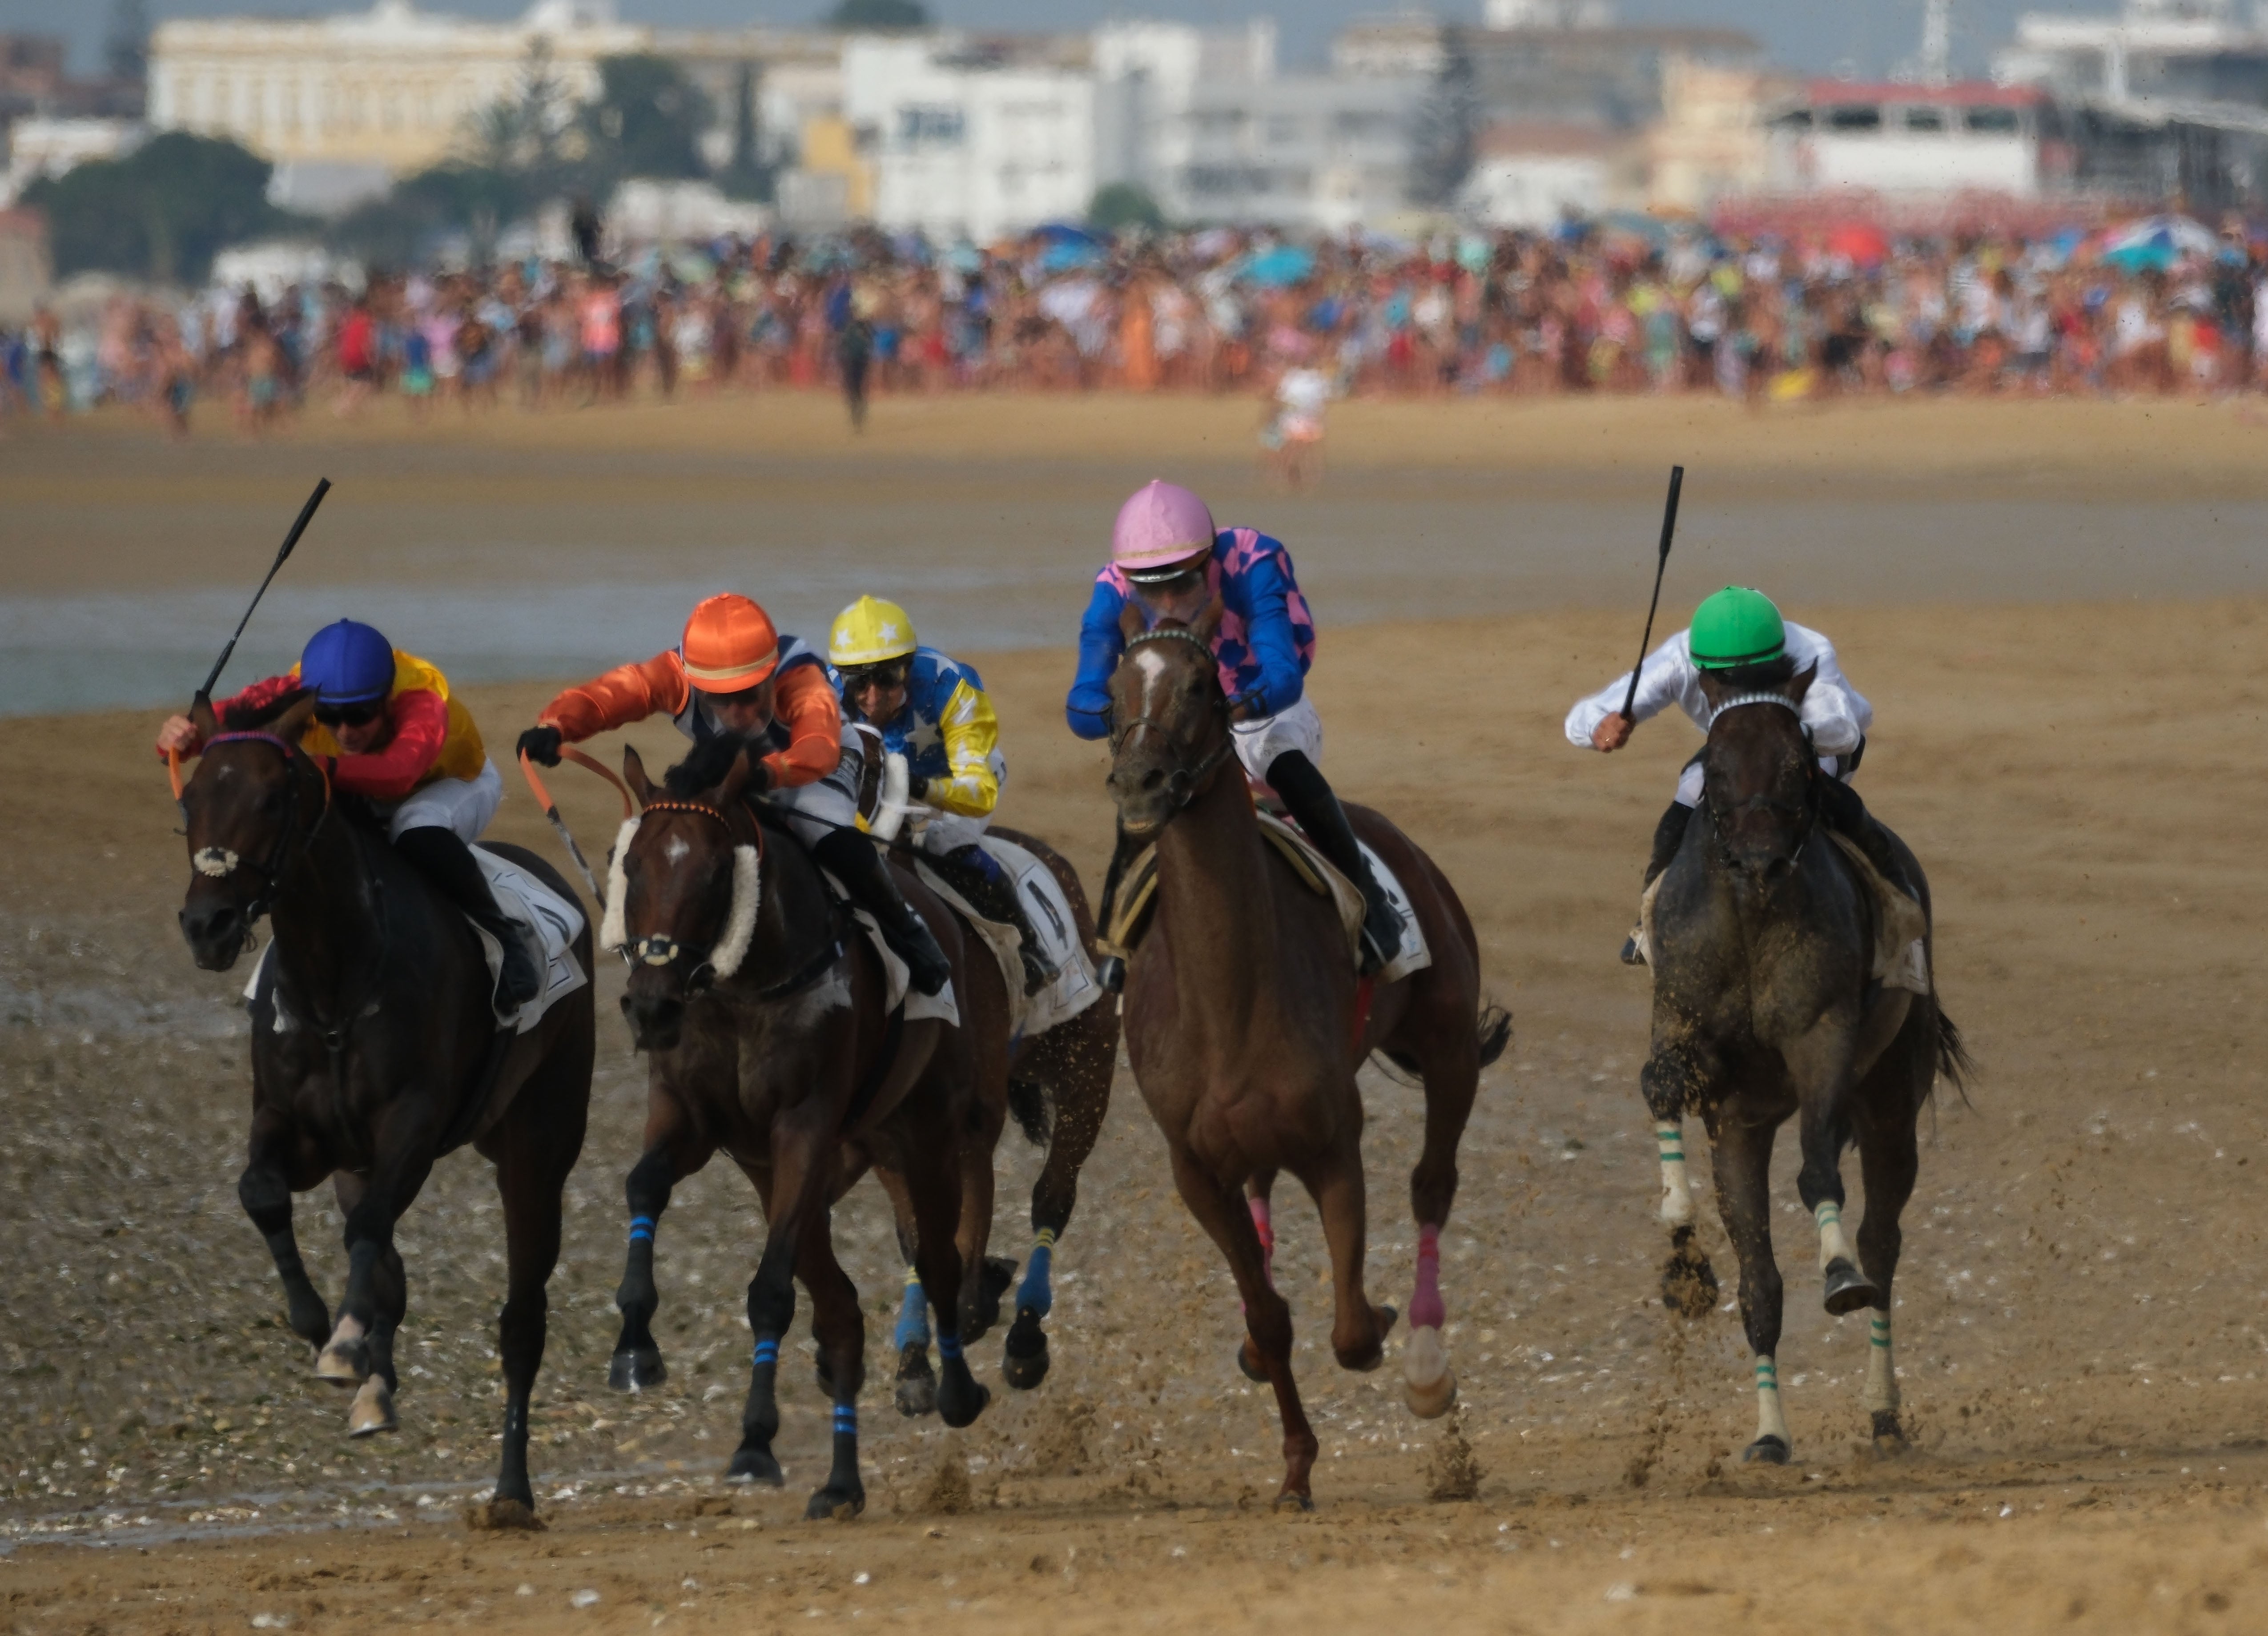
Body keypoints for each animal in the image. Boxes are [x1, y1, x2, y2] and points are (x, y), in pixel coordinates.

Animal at [173, 692, 594, 1518]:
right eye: (189, 799)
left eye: (271, 799)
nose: (206, 926)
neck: (338, 976)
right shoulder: (297, 1127)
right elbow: (263, 1191)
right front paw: (325, 1332)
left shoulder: (413, 1123)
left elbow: (367, 1231)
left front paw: (342, 1347)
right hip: (361, 1159)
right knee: (387, 1264)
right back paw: (378, 1378)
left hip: (536, 1145)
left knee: (521, 1320)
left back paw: (511, 1491)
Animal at [602, 742, 990, 1520]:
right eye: (631, 865)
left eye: (715, 874)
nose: (650, 1006)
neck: (740, 987)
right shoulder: (693, 1116)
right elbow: (643, 1184)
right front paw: (634, 1345)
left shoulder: (805, 1126)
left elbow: (771, 1292)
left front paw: (755, 1442)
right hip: (790, 1171)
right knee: (841, 1312)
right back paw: (842, 1483)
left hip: (924, 1132)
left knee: (938, 1262)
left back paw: (956, 1389)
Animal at [848, 824, 1119, 1417]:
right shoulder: (885, 1140)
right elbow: (915, 1237)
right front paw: (915, 1365)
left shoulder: (972, 1123)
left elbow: (966, 1243)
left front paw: (978, 1302)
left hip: (1087, 1067)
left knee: (1053, 1197)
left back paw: (1025, 1335)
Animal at [1103, 602, 1510, 1509]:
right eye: (1111, 687)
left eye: (1200, 682)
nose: (1141, 783)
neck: (1228, 996)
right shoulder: (1196, 1168)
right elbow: (1269, 1315)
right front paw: (1294, 1466)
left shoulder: (1333, 1143)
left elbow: (1354, 1328)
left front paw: (1392, 1332)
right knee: (1265, 1203)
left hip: (1447, 1047)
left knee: (1433, 1183)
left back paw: (1426, 1362)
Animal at [1640, 664, 1970, 1464]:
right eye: (1714, 766)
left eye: (1796, 763)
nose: (1760, 859)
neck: (1751, 915)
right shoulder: (1708, 1070)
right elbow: (1661, 1085)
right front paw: (1683, 1254)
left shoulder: (1822, 1037)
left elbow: (1820, 1172)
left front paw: (1838, 1271)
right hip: (1754, 1122)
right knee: (1765, 1277)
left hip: (1891, 1104)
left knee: (1883, 1243)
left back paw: (1883, 1408)